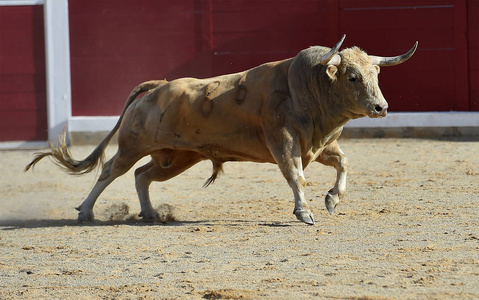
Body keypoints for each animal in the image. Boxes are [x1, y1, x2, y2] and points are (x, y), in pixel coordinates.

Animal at [25, 35, 416, 225]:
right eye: (352, 77)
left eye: (376, 73)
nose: (381, 107)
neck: (307, 88)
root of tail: (155, 87)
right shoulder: (284, 143)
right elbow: (296, 176)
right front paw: (304, 212)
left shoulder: (318, 146)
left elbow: (344, 162)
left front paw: (332, 200)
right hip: (133, 145)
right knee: (111, 171)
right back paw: (86, 212)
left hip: (177, 157)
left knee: (142, 175)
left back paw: (151, 214)